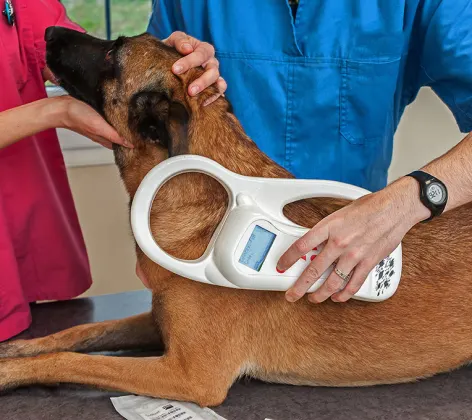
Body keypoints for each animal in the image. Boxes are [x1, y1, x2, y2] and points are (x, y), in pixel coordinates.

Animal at [0, 27, 472, 406]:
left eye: (112, 53)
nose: (47, 32)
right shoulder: (159, 323)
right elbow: (79, 332)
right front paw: (20, 348)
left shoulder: (188, 374)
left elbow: (71, 359)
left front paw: (11, 373)